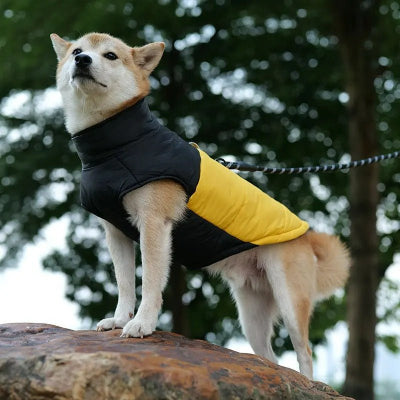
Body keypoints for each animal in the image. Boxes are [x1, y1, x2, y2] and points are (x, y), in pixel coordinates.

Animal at [50, 32, 350, 378]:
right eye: (77, 50)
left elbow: (150, 282)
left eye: (110, 55)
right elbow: (125, 283)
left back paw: (309, 381)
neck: (116, 146)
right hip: (252, 313)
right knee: (269, 357)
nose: (82, 60)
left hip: (290, 297)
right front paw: (120, 318)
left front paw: (141, 323)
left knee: (305, 352)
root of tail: (307, 236)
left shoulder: (154, 225)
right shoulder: (116, 232)